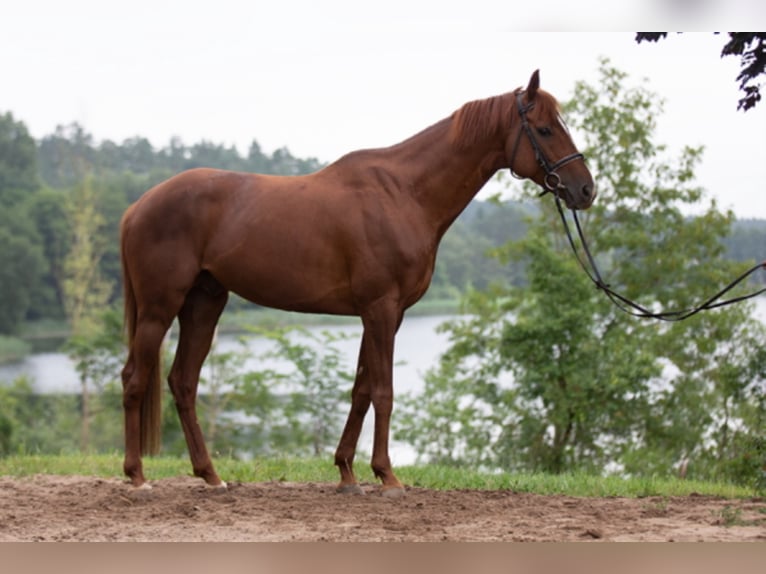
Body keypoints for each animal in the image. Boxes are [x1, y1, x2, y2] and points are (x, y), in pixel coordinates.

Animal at [120, 70, 596, 498]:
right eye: (545, 129)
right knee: (134, 379)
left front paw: (347, 472)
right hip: (160, 308)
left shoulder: (385, 313)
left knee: (183, 382)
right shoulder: (381, 309)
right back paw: (138, 478)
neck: (403, 193)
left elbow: (361, 390)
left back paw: (210, 476)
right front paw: (387, 476)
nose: (586, 190)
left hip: (204, 304)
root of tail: (138, 206)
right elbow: (383, 392)